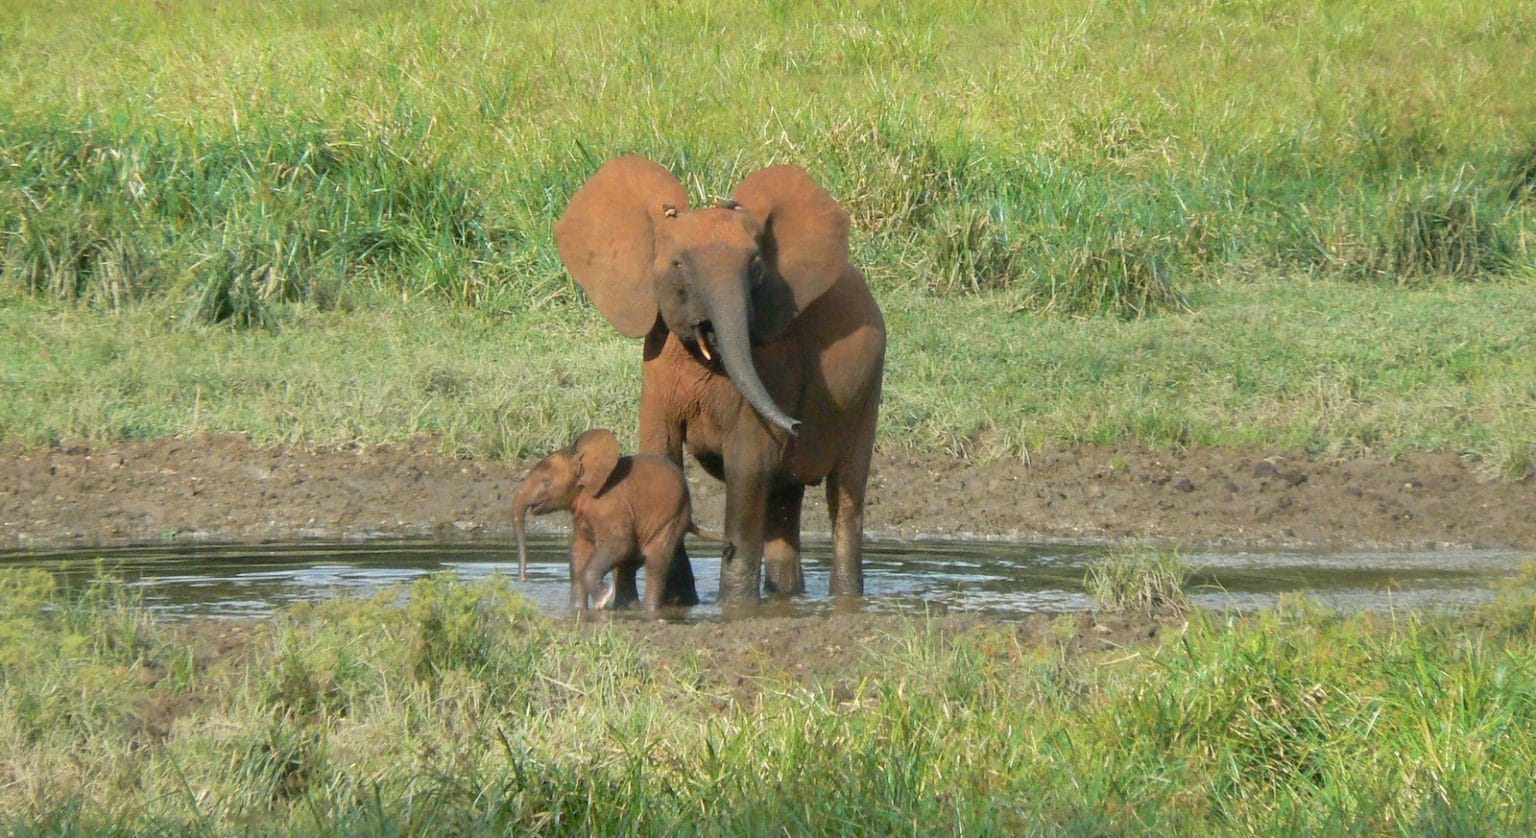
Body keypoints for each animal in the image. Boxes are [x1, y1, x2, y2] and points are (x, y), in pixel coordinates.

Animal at [512, 428, 721, 612]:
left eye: (546, 482)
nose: (523, 580)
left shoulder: (610, 507)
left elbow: (619, 544)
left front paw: (603, 599)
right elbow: (578, 556)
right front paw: (578, 611)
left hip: (672, 517)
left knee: (655, 564)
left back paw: (648, 611)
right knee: (625, 568)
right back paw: (626, 609)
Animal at [555, 157, 885, 605]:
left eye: (757, 268)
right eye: (678, 265)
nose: (797, 425)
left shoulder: (773, 364)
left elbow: (749, 463)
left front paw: (734, 606)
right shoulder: (657, 362)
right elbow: (661, 452)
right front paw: (680, 602)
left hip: (867, 392)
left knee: (845, 496)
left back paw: (843, 597)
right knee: (783, 499)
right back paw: (785, 598)